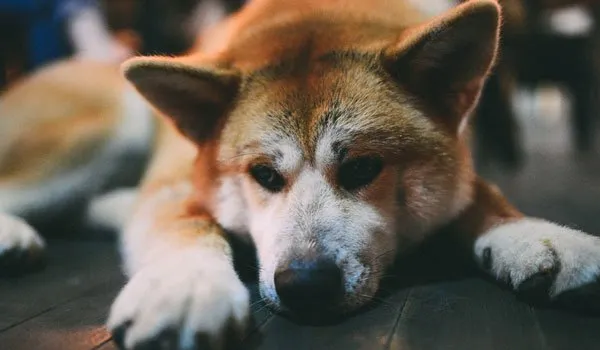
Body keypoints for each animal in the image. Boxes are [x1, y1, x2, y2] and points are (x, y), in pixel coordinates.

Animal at [1, 0, 600, 350]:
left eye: (362, 168)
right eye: (264, 174)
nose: (305, 285)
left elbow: (485, 195)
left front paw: (540, 236)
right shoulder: (172, 186)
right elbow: (189, 226)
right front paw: (187, 284)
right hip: (103, 129)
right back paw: (14, 235)